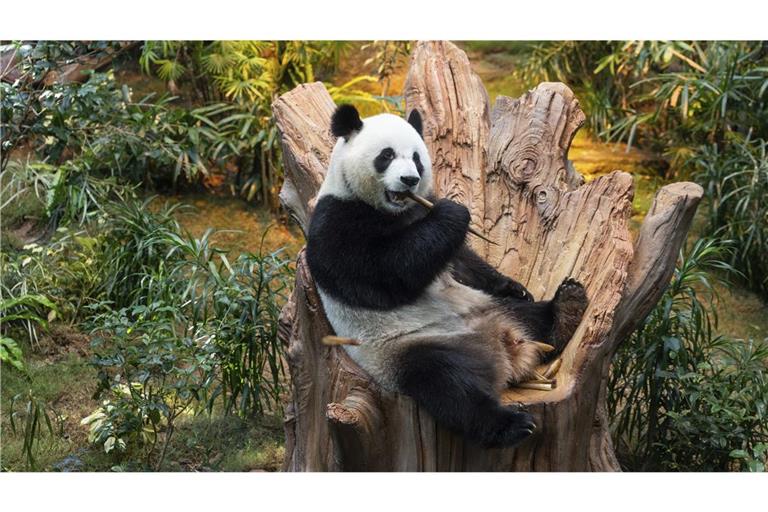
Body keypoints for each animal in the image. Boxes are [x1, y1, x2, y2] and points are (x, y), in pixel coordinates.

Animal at [306, 104, 588, 448]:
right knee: (450, 387)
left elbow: (461, 261)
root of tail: (502, 352)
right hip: (408, 351)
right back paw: (511, 425)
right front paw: (454, 213)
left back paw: (567, 307)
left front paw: (514, 286)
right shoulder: (336, 221)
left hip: (490, 308)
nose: (410, 180)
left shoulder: (422, 216)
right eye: (386, 155)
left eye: (416, 157)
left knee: (530, 316)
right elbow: (382, 275)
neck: (393, 211)